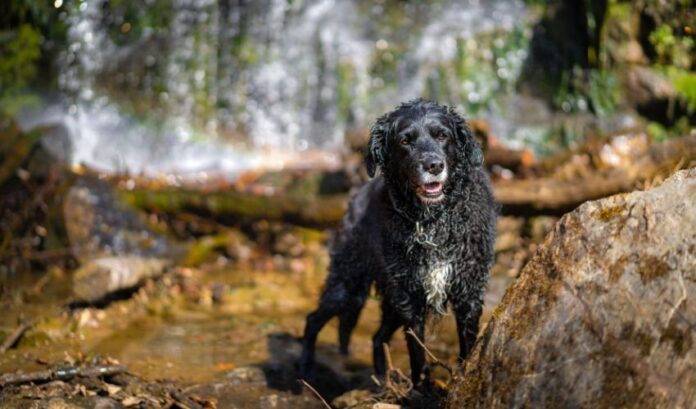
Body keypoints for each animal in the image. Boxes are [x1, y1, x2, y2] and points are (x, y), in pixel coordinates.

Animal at [298, 99, 494, 386]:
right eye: (405, 141)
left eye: (442, 136)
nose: (433, 165)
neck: (433, 221)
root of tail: (356, 195)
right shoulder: (411, 297)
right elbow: (417, 353)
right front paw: (422, 388)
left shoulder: (467, 291)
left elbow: (467, 345)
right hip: (349, 283)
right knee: (313, 320)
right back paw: (305, 370)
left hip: (387, 298)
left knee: (377, 337)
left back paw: (383, 378)